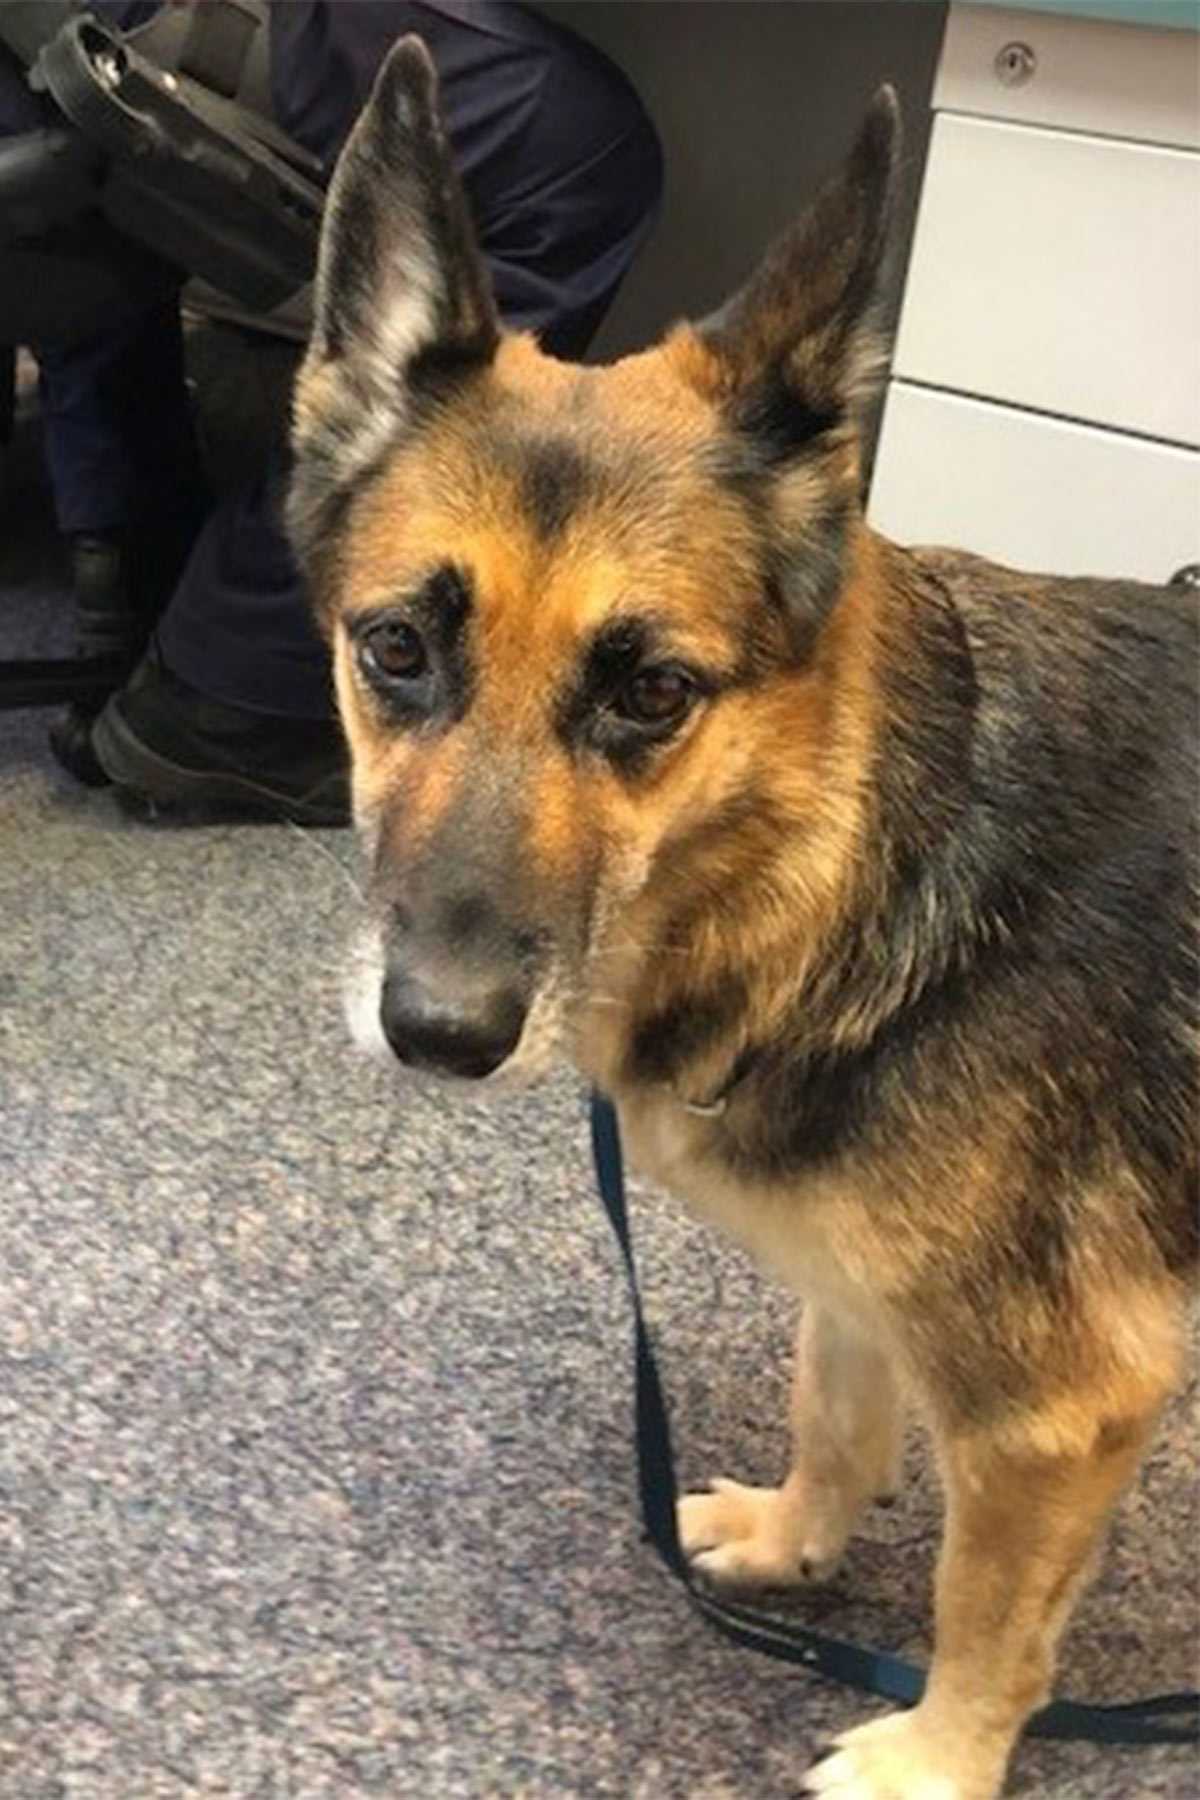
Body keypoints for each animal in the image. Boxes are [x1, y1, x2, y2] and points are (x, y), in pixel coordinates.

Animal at [286, 42, 1194, 1800]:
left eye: (651, 694)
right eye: (395, 652)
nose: (438, 1034)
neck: (851, 862)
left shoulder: (1052, 1418)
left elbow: (988, 1613)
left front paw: (939, 1759)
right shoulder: (849, 1286)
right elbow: (834, 1413)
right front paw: (794, 1541)